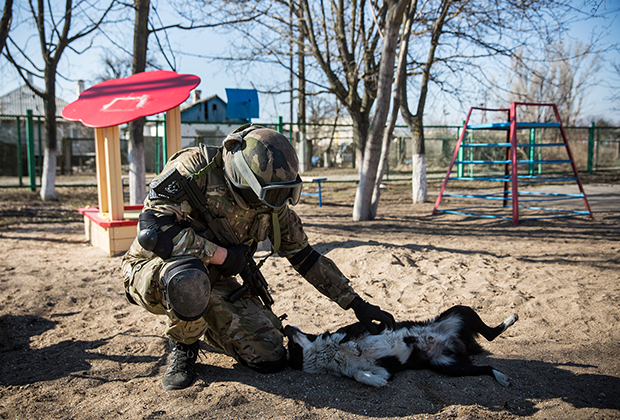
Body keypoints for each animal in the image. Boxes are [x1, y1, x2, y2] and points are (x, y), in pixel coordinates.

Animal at [286, 306, 520, 388]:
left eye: (289, 346)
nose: (286, 326)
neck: (327, 354)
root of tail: (459, 344)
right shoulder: (383, 370)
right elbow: (360, 375)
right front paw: (376, 382)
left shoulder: (362, 326)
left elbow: (345, 339)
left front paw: (352, 347)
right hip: (449, 366)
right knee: (486, 367)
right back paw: (502, 378)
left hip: (460, 311)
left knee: (491, 334)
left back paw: (512, 318)